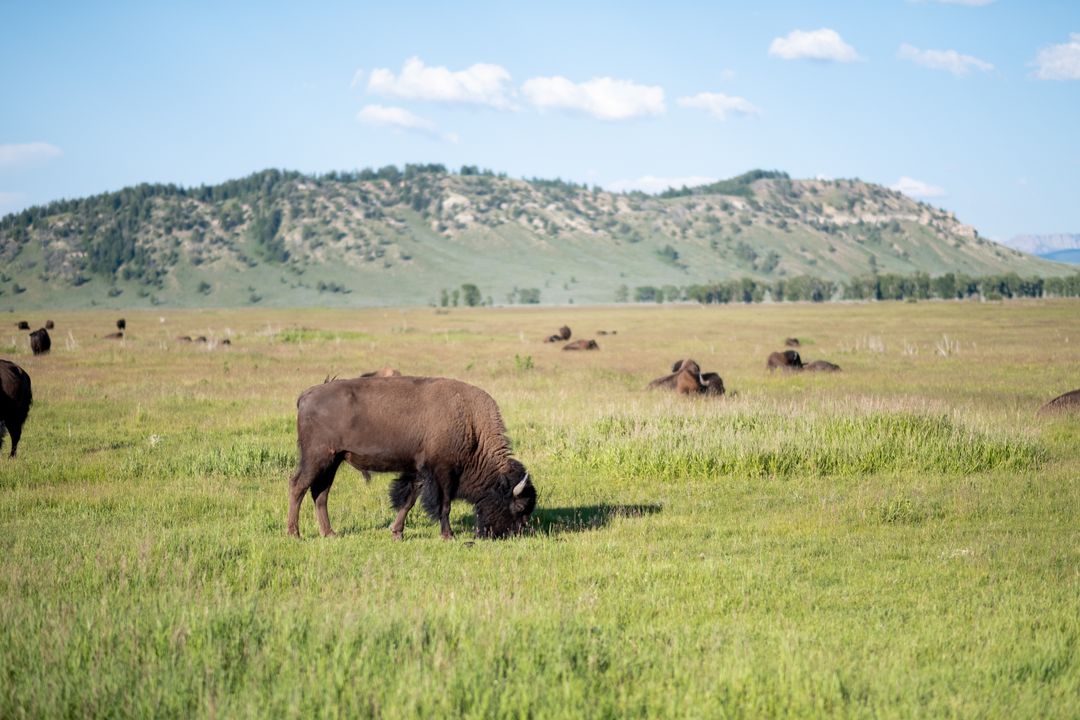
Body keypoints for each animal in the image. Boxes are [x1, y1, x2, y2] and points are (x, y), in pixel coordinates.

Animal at [289, 376, 536, 540]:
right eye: (519, 507)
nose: (517, 533)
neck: (470, 423)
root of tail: (306, 395)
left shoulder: (419, 471)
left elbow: (408, 500)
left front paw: (396, 532)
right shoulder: (443, 472)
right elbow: (444, 504)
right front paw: (448, 535)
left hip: (333, 461)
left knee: (320, 493)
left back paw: (330, 533)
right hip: (317, 458)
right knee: (298, 486)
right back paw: (294, 534)